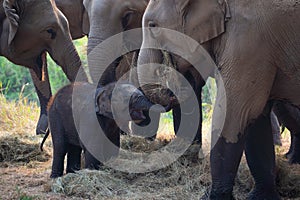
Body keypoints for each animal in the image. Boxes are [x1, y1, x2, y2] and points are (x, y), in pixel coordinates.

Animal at [138, 0, 300, 199]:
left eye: (153, 25)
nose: (170, 90)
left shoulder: (248, 40)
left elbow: (233, 115)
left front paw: (211, 197)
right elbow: (255, 119)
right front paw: (259, 197)